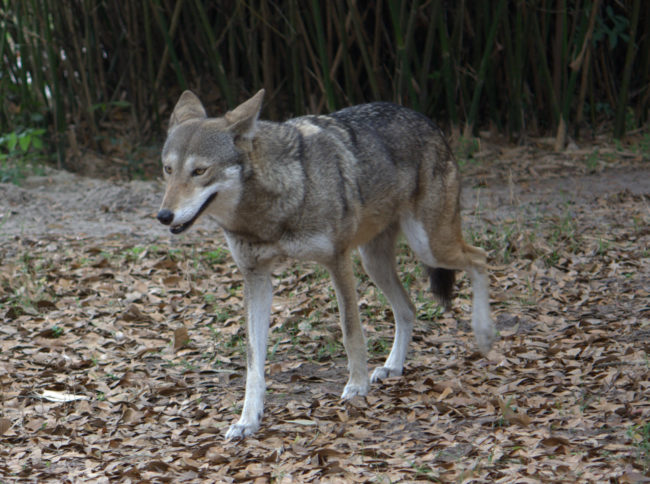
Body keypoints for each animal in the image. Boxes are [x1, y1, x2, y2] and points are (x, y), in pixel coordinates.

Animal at [157, 89, 497, 439]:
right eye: (168, 169)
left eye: (200, 171)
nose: (164, 215)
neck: (273, 207)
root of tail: (426, 120)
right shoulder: (256, 278)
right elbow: (253, 359)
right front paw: (248, 419)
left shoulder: (338, 260)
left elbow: (351, 331)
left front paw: (357, 386)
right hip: (376, 262)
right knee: (408, 308)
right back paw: (393, 366)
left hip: (429, 248)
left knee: (480, 258)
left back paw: (484, 333)